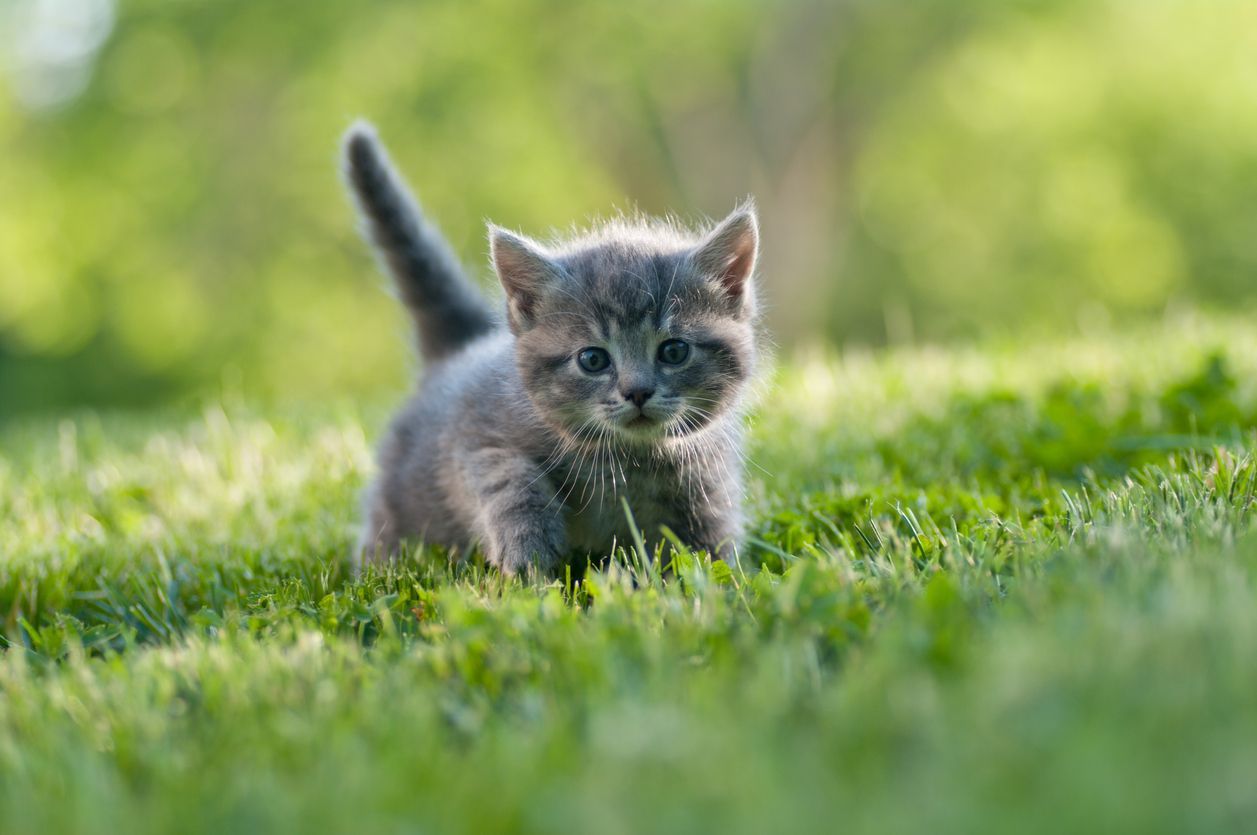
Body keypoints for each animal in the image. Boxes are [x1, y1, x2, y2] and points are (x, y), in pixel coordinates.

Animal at [339, 122, 759, 573]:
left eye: (674, 351)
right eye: (592, 359)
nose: (637, 391)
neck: (626, 461)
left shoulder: (707, 479)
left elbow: (709, 547)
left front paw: (714, 577)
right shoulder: (475, 441)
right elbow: (509, 482)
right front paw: (527, 553)